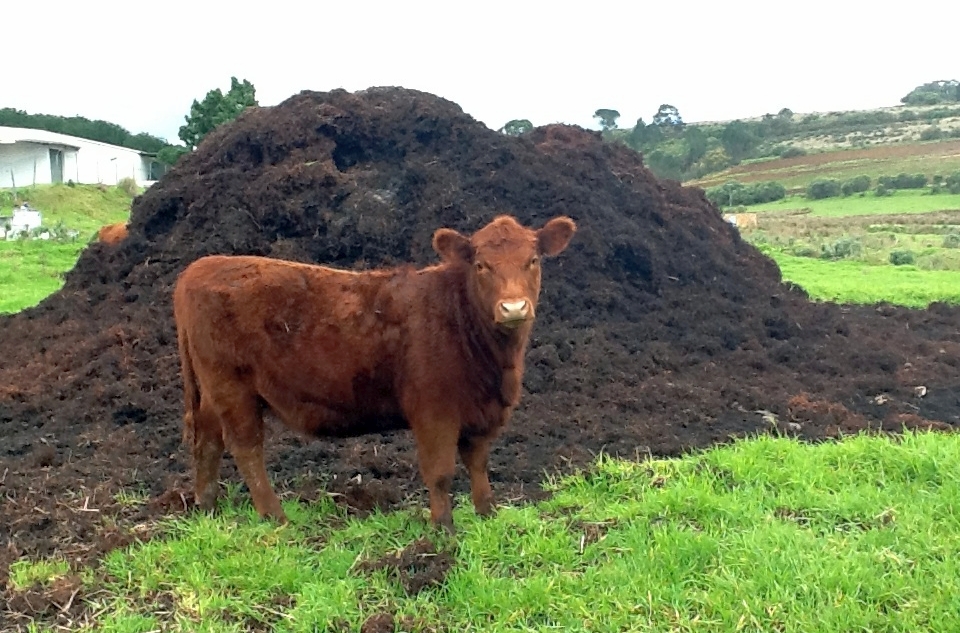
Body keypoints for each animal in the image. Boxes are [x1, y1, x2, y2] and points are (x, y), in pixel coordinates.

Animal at [171, 215, 576, 532]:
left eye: (533, 260)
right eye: (481, 265)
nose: (513, 308)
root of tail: (200, 266)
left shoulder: (480, 412)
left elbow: (478, 463)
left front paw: (487, 515)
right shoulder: (434, 410)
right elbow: (440, 471)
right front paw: (443, 529)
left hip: (213, 391)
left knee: (208, 439)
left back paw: (207, 508)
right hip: (232, 386)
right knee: (246, 447)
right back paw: (276, 518)